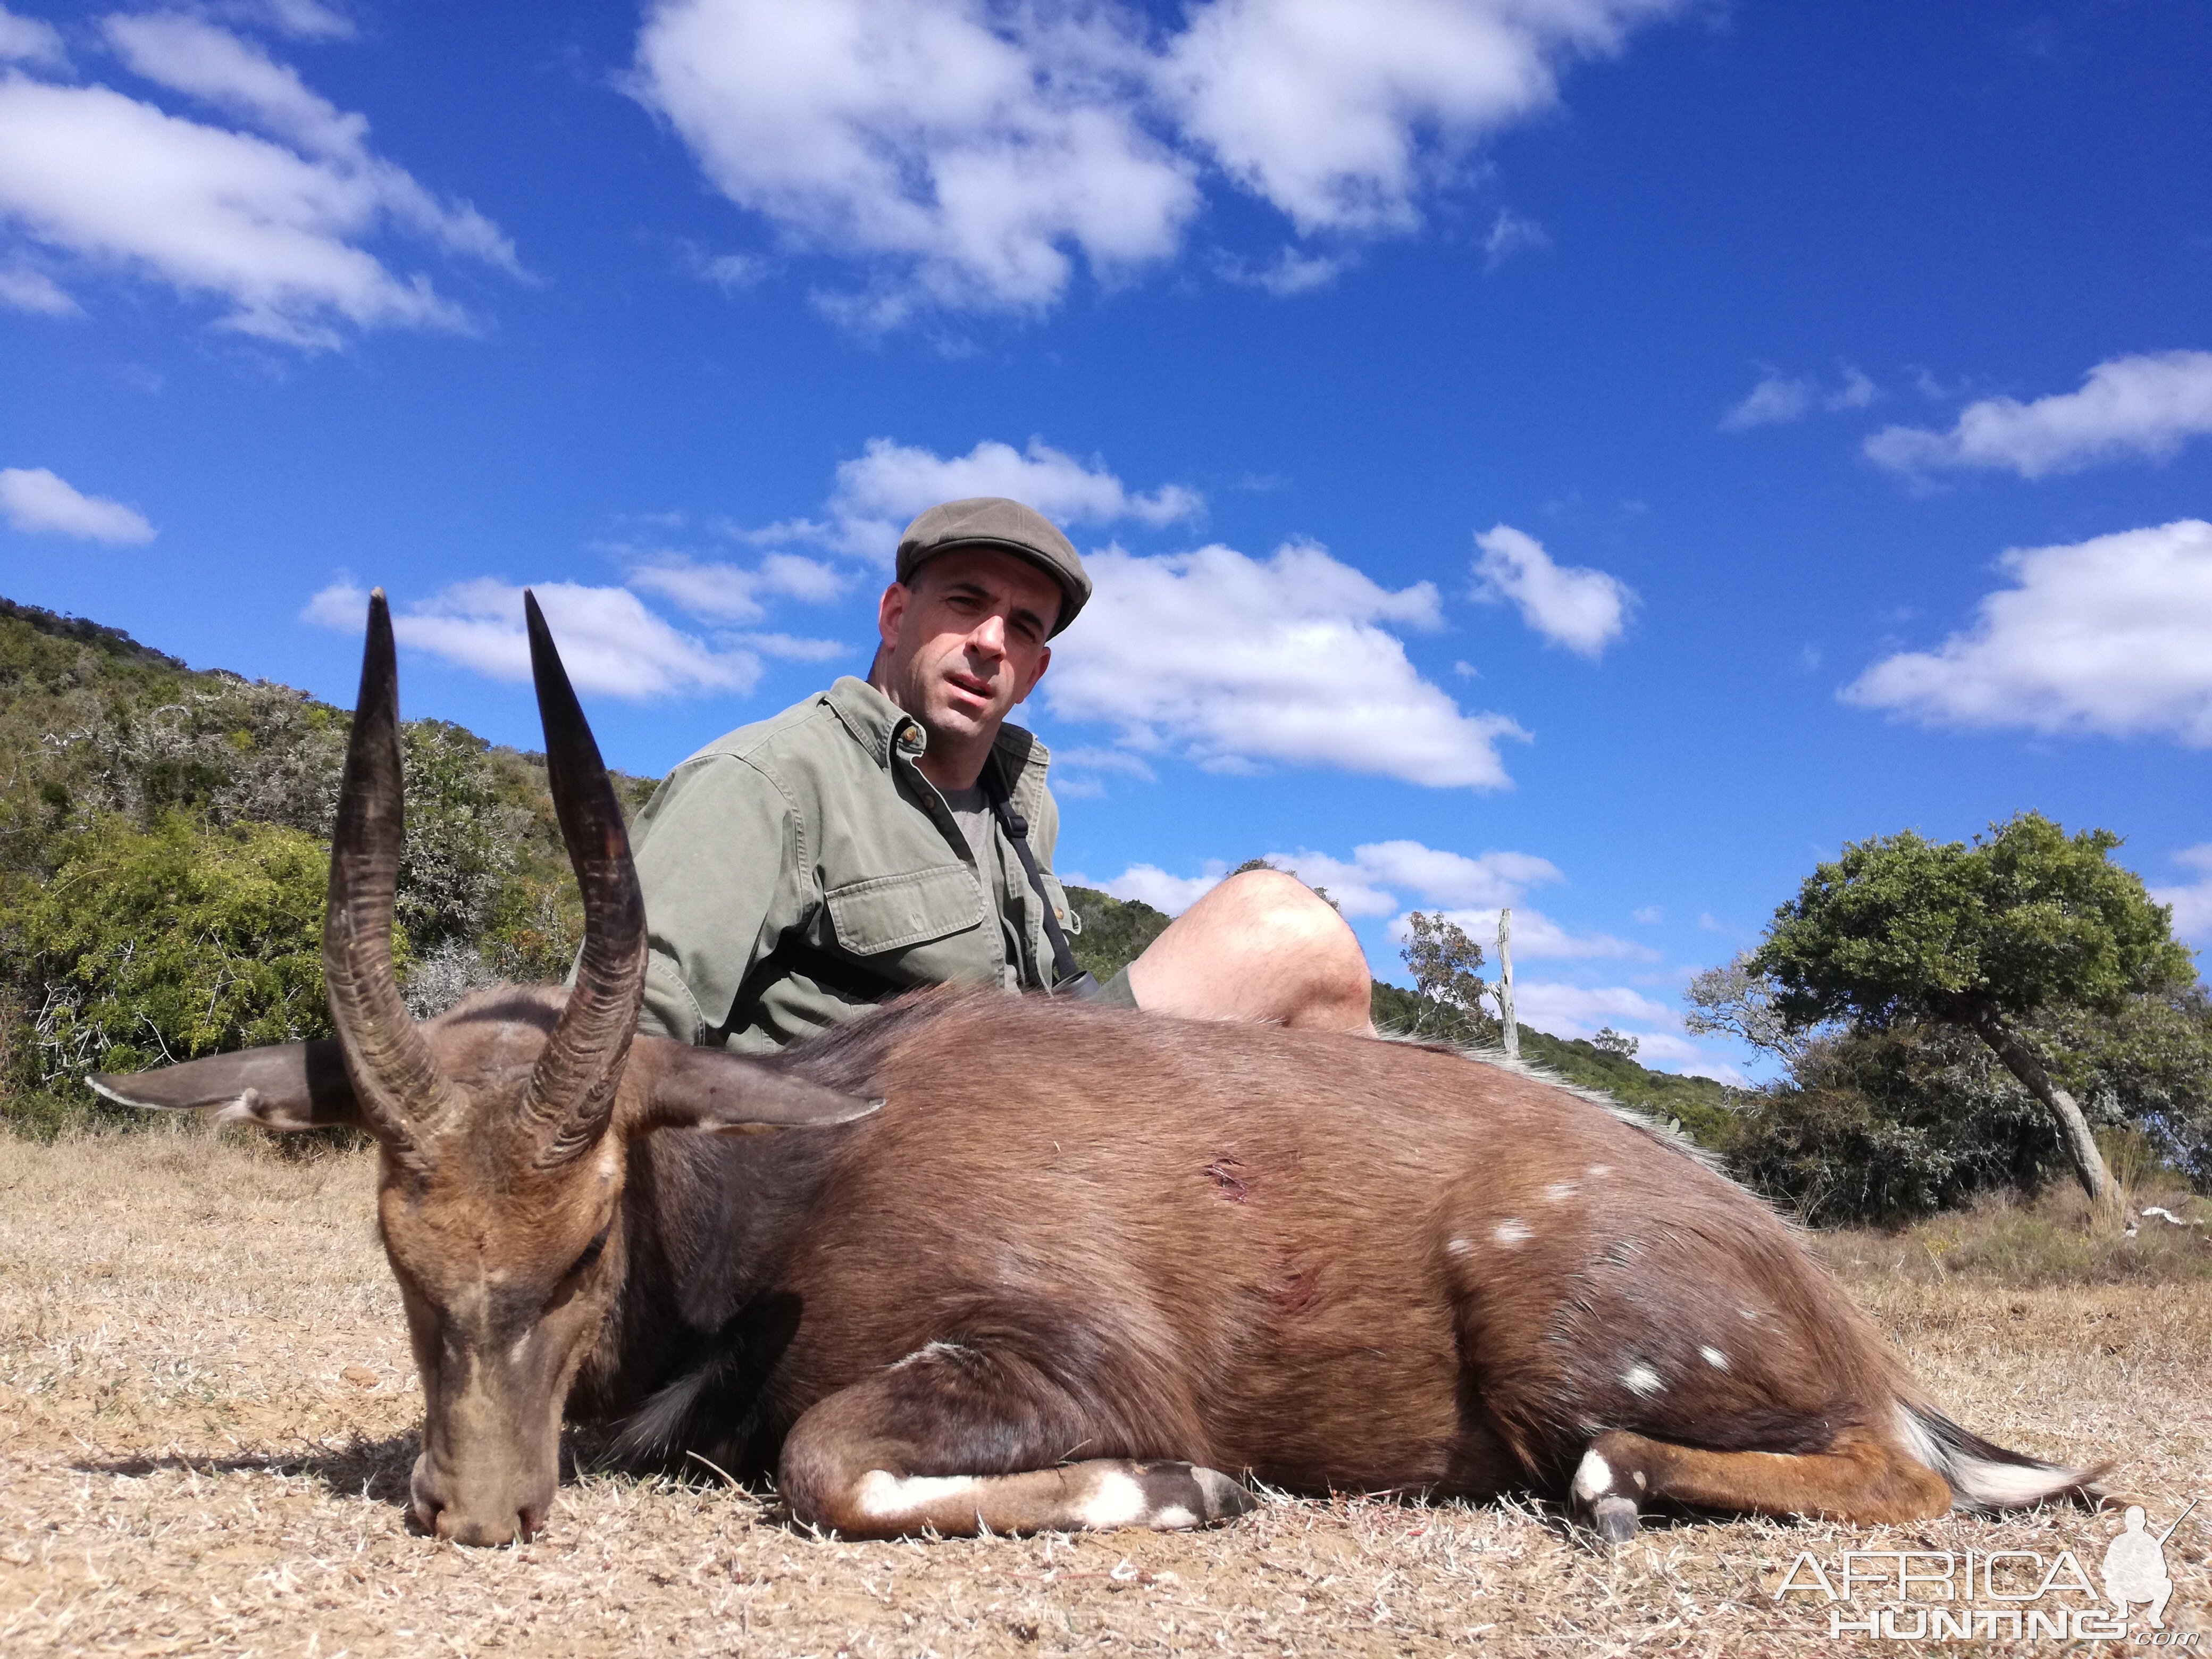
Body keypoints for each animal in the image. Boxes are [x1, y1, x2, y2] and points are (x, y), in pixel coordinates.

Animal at [99, 601, 2106, 1557]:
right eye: (395, 1250)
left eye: (592, 1235)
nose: (477, 1505)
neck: (794, 1192)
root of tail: (1828, 1303)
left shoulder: (1052, 1355)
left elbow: (826, 1460)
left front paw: (1202, 1490)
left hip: (1579, 1357)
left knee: (1861, 1473)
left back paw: (1620, 1492)